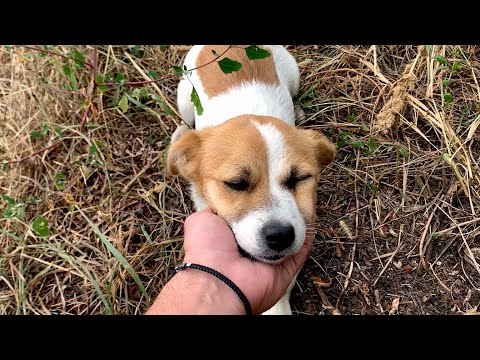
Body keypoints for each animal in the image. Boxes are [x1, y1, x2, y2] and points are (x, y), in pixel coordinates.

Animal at [167, 45, 336, 316]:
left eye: (299, 178)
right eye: (236, 183)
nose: (280, 236)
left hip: (293, 73)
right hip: (184, 94)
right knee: (185, 116)